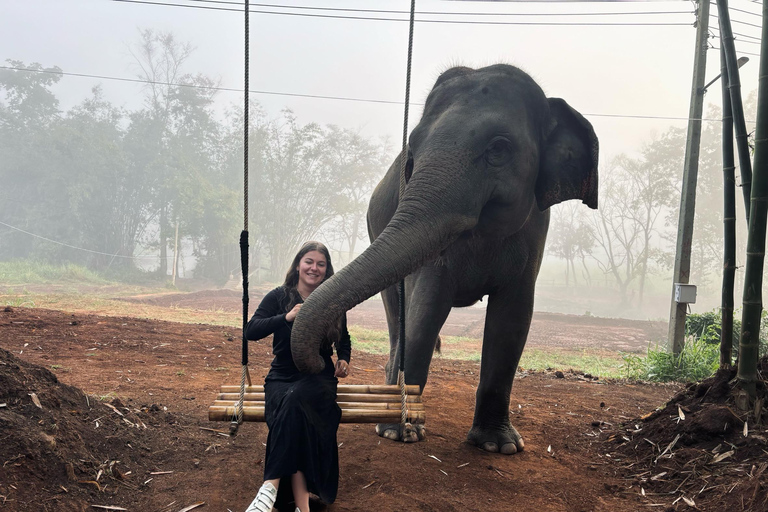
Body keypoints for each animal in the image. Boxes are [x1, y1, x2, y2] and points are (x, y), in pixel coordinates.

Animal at [291, 64, 598, 455]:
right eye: (414, 148)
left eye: (499, 149)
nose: (320, 358)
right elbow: (426, 307)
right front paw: (399, 432)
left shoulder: (535, 231)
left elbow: (513, 319)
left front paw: (499, 446)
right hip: (376, 226)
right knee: (398, 312)